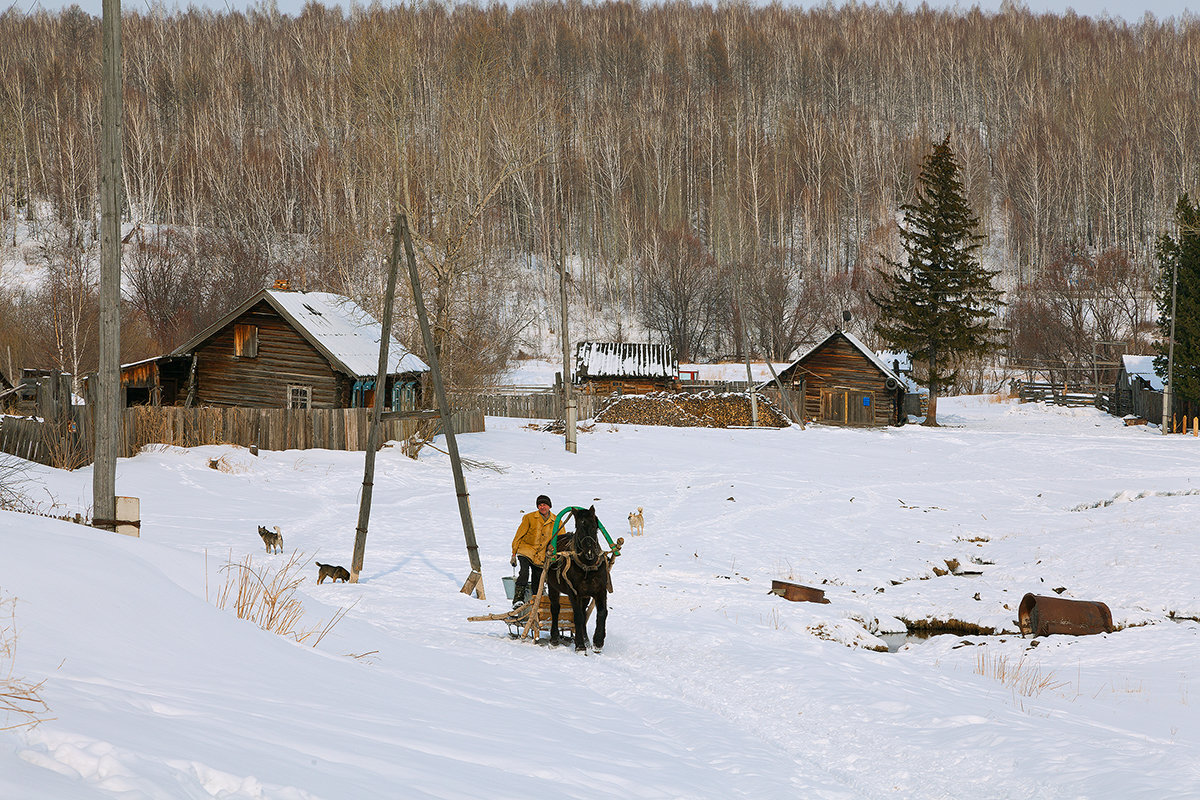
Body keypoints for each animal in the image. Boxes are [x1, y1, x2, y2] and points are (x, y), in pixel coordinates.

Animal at [549, 506, 614, 652]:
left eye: (595, 526)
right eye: (579, 527)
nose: (590, 553)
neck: (587, 567)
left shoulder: (600, 591)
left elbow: (602, 613)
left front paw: (597, 642)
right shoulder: (574, 594)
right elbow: (577, 616)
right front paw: (579, 645)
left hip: (586, 596)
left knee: (584, 613)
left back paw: (587, 640)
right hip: (552, 586)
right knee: (555, 608)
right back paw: (554, 639)